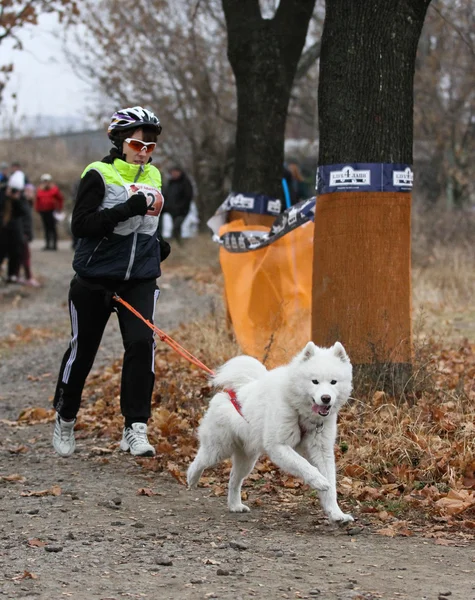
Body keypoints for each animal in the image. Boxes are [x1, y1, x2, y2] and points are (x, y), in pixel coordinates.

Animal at [188, 340, 356, 524]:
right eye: (315, 381)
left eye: (333, 382)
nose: (326, 398)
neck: (300, 411)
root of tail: (233, 391)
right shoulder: (278, 446)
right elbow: (303, 464)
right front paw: (319, 481)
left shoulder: (322, 450)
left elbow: (331, 486)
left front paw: (337, 514)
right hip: (219, 448)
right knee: (200, 460)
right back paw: (192, 478)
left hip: (247, 459)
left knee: (234, 480)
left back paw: (235, 505)